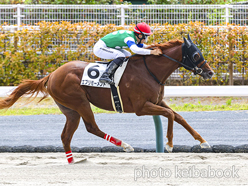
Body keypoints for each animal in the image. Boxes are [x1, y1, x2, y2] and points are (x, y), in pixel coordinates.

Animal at [0, 34, 213, 163]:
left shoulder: (157, 101)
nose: (210, 72)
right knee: (91, 127)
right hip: (80, 102)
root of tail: (51, 75)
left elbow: (179, 117)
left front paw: (203, 141)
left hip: (70, 110)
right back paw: (125, 145)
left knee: (65, 135)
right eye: (196, 54)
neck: (149, 70)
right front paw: (169, 145)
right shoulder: (141, 107)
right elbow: (169, 115)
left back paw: (72, 160)